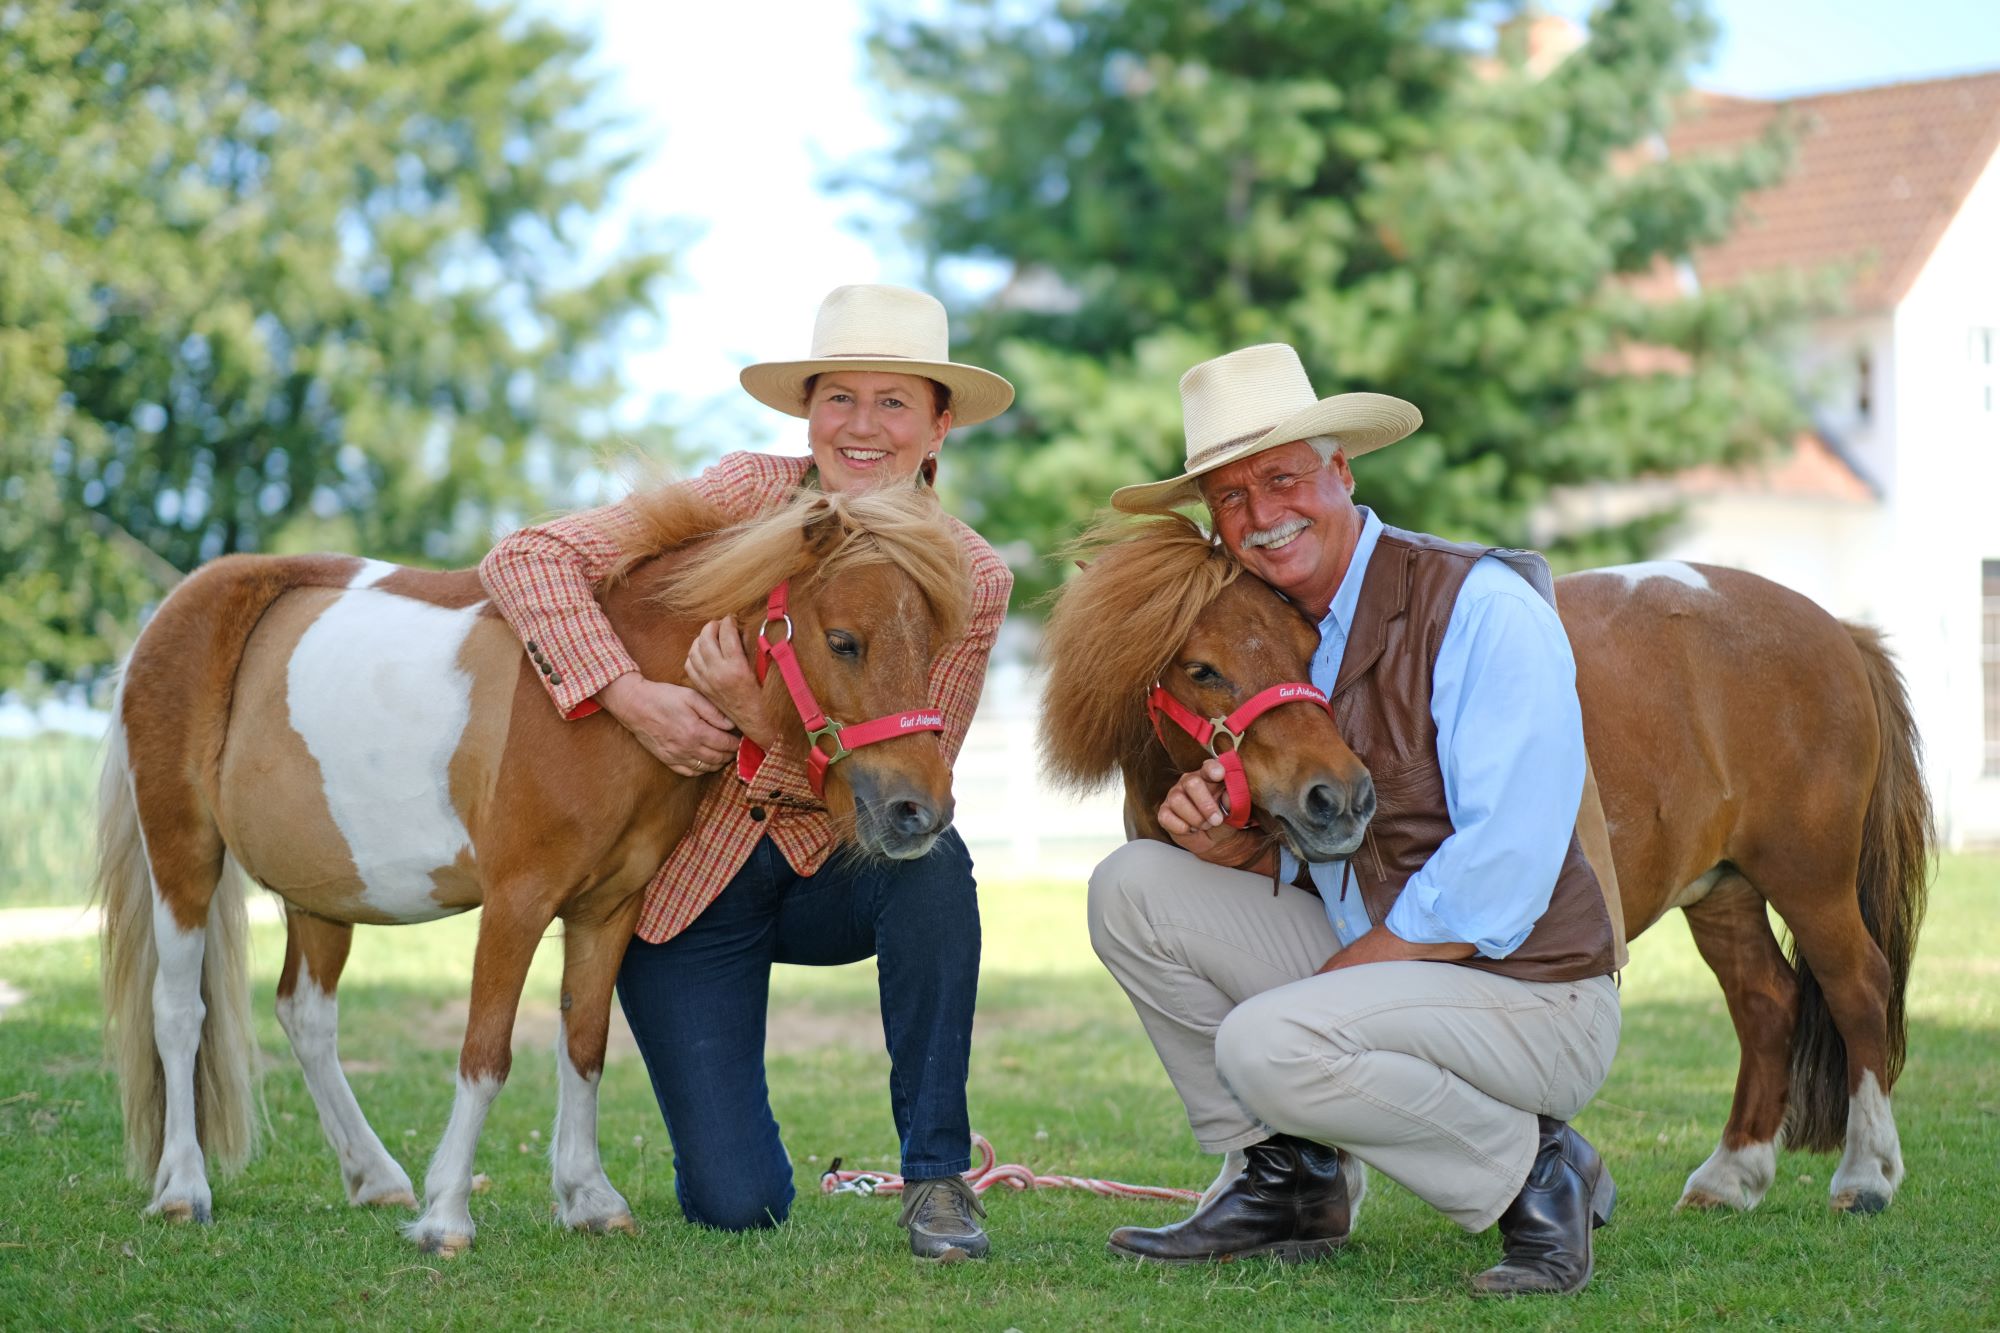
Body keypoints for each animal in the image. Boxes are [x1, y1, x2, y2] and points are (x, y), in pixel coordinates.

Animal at [101, 482, 976, 1248]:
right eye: (844, 641)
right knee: (178, 1012)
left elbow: (583, 1046)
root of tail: (181, 606)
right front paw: (447, 1216)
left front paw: (587, 1198)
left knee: (306, 1016)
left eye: (933, 646)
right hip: (182, 852)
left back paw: (374, 1175)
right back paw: (184, 1187)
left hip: (325, 891)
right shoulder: (516, 901)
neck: (611, 709)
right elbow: (486, 1053)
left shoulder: (609, 908)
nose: (919, 810)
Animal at [1040, 516, 1928, 1216]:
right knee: (1767, 1002)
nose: (1338, 796)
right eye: (1202, 667)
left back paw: (1865, 1174)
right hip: (1723, 891)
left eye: (1307, 646)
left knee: (1858, 987)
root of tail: (1835, 628)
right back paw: (1731, 1175)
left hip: (1810, 879)